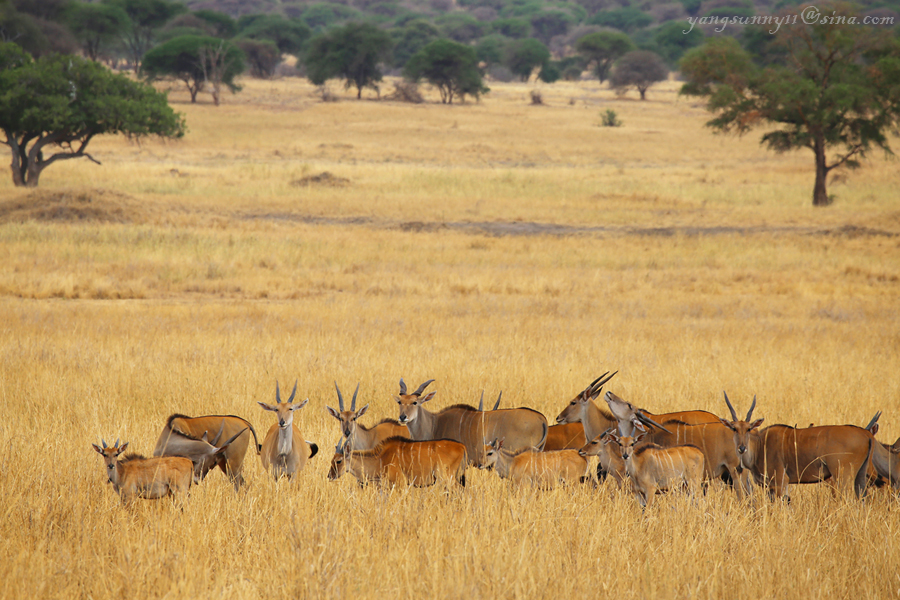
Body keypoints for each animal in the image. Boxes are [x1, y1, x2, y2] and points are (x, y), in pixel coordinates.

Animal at [326, 436, 468, 488]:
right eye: (331, 460)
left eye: (338, 461)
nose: (330, 476)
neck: (381, 459)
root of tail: (461, 446)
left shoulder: (400, 483)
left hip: (446, 477)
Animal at [716, 392, 872, 500]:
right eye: (734, 428)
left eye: (748, 429)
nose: (742, 448)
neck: (760, 446)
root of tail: (866, 435)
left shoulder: (780, 482)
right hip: (860, 476)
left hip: (843, 477)